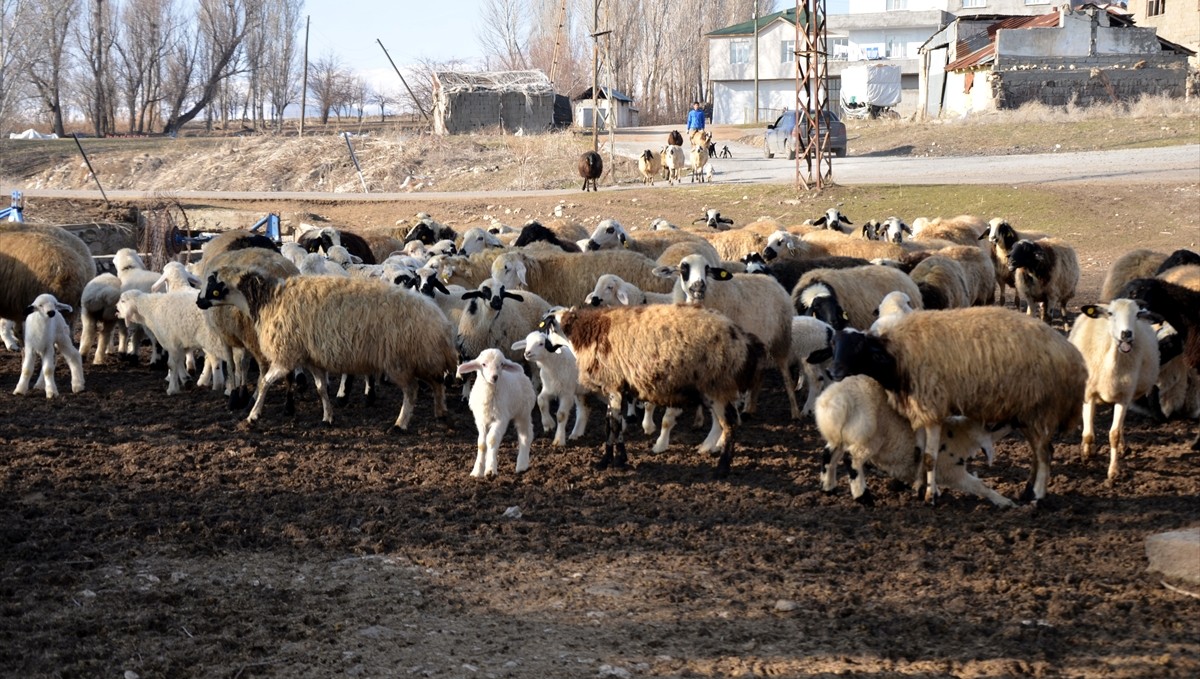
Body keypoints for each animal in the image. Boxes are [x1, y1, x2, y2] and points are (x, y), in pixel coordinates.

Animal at [456, 350, 537, 479]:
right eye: (483, 364)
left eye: (502, 364)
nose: (495, 377)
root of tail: (522, 371)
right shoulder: (481, 420)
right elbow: (482, 444)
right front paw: (477, 471)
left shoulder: (500, 419)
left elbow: (492, 440)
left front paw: (490, 470)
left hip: (523, 412)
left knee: (525, 436)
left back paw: (522, 465)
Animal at [830, 309, 1094, 506]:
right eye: (834, 345)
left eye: (857, 347)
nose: (833, 372)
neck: (896, 359)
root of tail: (1074, 357)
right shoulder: (919, 412)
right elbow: (919, 452)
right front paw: (919, 488)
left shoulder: (932, 407)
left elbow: (930, 458)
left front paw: (930, 496)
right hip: (1026, 413)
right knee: (1039, 453)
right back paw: (1028, 491)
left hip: (1040, 408)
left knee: (1044, 453)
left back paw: (1037, 496)